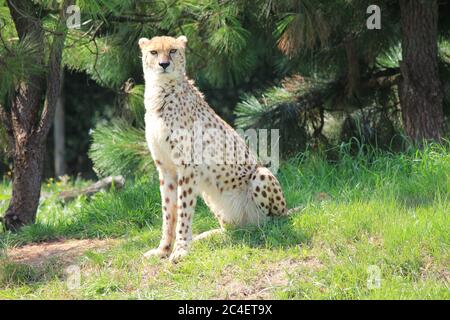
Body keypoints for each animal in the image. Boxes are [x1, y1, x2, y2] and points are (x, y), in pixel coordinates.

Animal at [139, 35, 290, 262]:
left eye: (173, 51)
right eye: (154, 52)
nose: (163, 64)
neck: (161, 93)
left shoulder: (187, 168)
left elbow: (183, 211)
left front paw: (181, 249)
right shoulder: (165, 169)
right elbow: (168, 212)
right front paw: (163, 250)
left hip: (261, 175)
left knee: (270, 222)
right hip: (211, 196)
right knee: (234, 230)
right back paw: (208, 235)